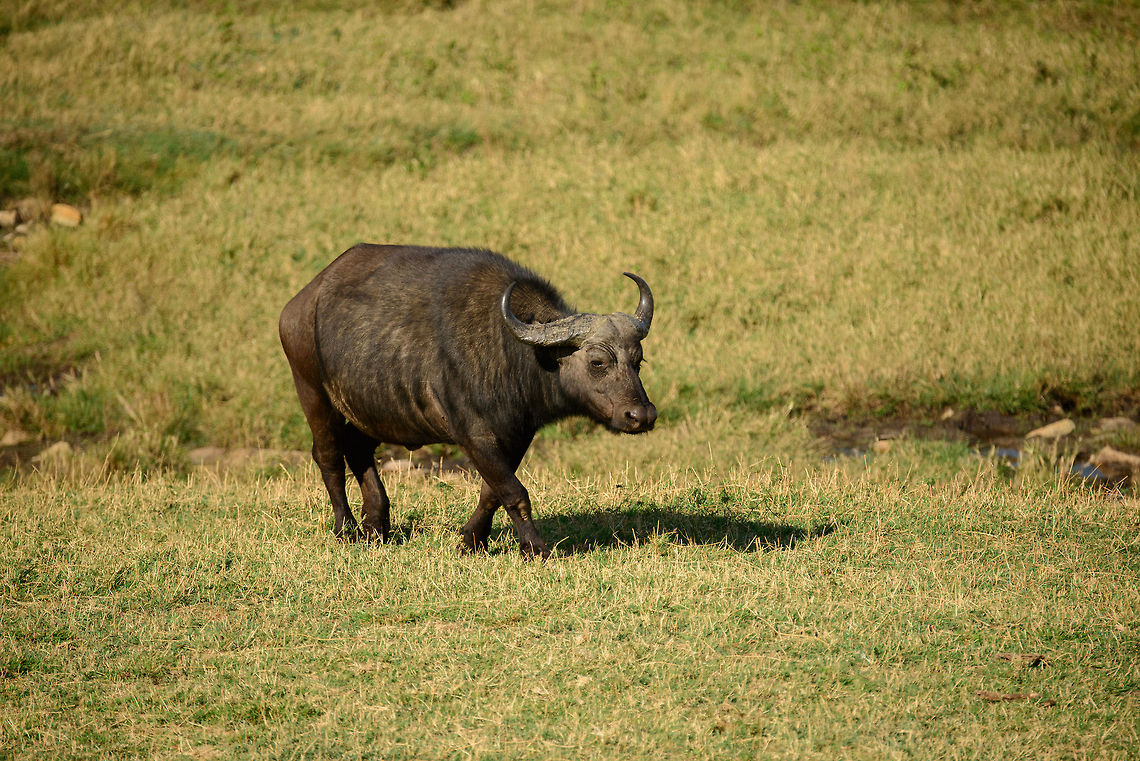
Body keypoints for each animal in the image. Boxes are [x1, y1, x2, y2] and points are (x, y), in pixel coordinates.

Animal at [279, 244, 656, 557]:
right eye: (598, 362)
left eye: (637, 361)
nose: (642, 415)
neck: (516, 354)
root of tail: (299, 304)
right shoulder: (473, 435)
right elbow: (515, 492)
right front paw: (535, 548)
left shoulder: (516, 435)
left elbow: (494, 491)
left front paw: (471, 541)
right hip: (313, 393)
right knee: (329, 456)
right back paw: (346, 528)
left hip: (373, 411)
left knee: (358, 450)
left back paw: (376, 525)